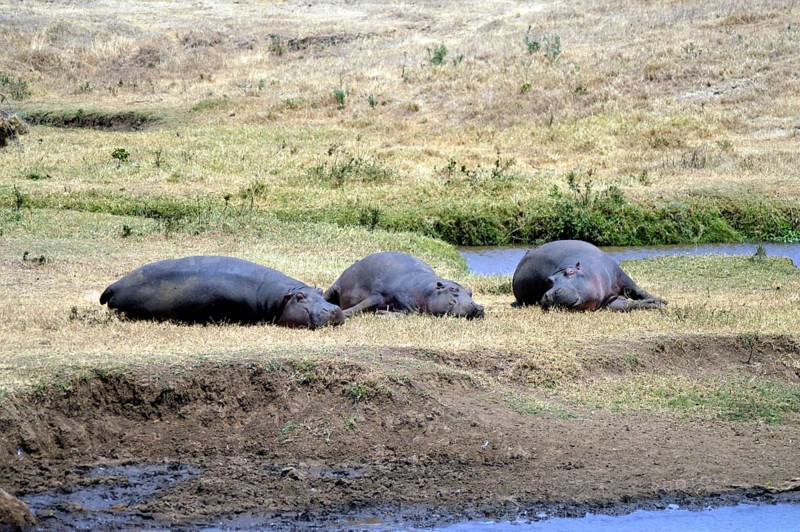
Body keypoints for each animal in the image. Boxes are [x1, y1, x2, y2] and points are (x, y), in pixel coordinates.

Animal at [324, 252, 484, 319]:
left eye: (470, 292)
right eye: (453, 289)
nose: (478, 306)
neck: (427, 290)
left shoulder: (410, 308)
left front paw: (382, 313)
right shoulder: (378, 294)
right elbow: (360, 305)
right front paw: (344, 313)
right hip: (335, 286)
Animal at [512, 240, 667, 311]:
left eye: (570, 272)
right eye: (549, 281)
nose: (548, 295)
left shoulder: (621, 276)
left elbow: (638, 291)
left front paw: (661, 301)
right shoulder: (608, 302)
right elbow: (627, 305)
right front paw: (655, 304)